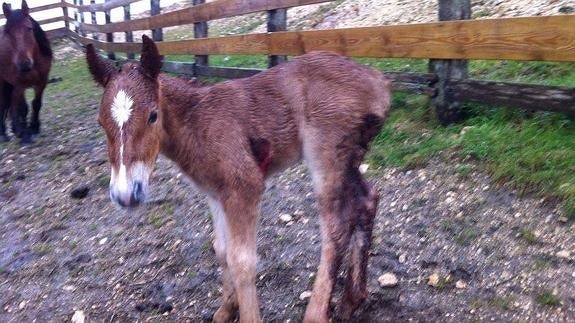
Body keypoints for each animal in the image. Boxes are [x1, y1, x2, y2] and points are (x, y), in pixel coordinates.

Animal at [0, 0, 52, 144]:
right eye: (8, 32)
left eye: (29, 28)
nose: (24, 65)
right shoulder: (20, 85)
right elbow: (22, 108)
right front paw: (26, 135)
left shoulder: (42, 82)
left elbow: (36, 104)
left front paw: (34, 127)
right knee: (5, 103)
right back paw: (4, 133)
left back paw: (15, 129)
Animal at [86, 36, 392, 322]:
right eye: (100, 122)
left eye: (153, 116)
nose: (126, 194)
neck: (197, 122)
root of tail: (379, 82)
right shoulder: (215, 193)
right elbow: (222, 251)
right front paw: (225, 309)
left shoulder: (245, 186)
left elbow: (242, 261)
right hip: (350, 158)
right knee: (367, 199)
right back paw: (352, 299)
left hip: (326, 155)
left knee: (336, 227)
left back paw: (316, 313)